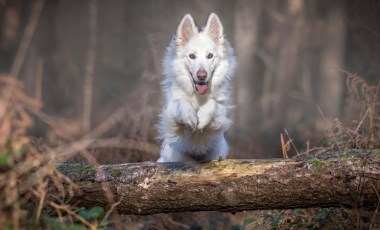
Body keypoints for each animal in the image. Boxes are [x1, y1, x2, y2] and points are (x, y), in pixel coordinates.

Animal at [157, 12, 235, 163]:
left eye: (210, 56)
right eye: (192, 56)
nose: (202, 76)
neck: (199, 97)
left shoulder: (220, 118)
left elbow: (213, 104)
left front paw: (202, 117)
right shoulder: (170, 115)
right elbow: (181, 102)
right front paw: (190, 116)